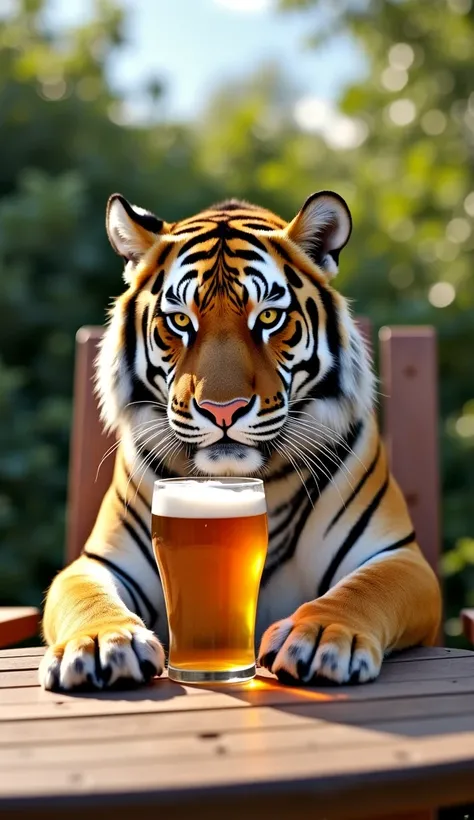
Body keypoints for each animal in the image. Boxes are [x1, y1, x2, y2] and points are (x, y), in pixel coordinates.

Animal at [39, 189, 442, 688]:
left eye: (268, 316)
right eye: (180, 321)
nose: (222, 410)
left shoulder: (399, 557)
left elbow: (365, 588)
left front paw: (323, 635)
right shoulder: (100, 562)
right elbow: (85, 595)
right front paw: (102, 643)